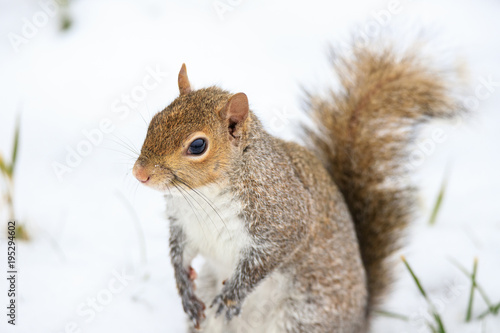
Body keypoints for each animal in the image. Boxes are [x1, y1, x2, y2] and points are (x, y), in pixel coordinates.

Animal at [131, 40, 458, 330]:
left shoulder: (282, 217)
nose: (139, 173)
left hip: (306, 315)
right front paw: (185, 291)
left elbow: (263, 261)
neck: (201, 194)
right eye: (154, 121)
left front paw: (230, 298)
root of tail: (359, 321)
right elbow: (178, 254)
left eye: (198, 145)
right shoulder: (183, 223)